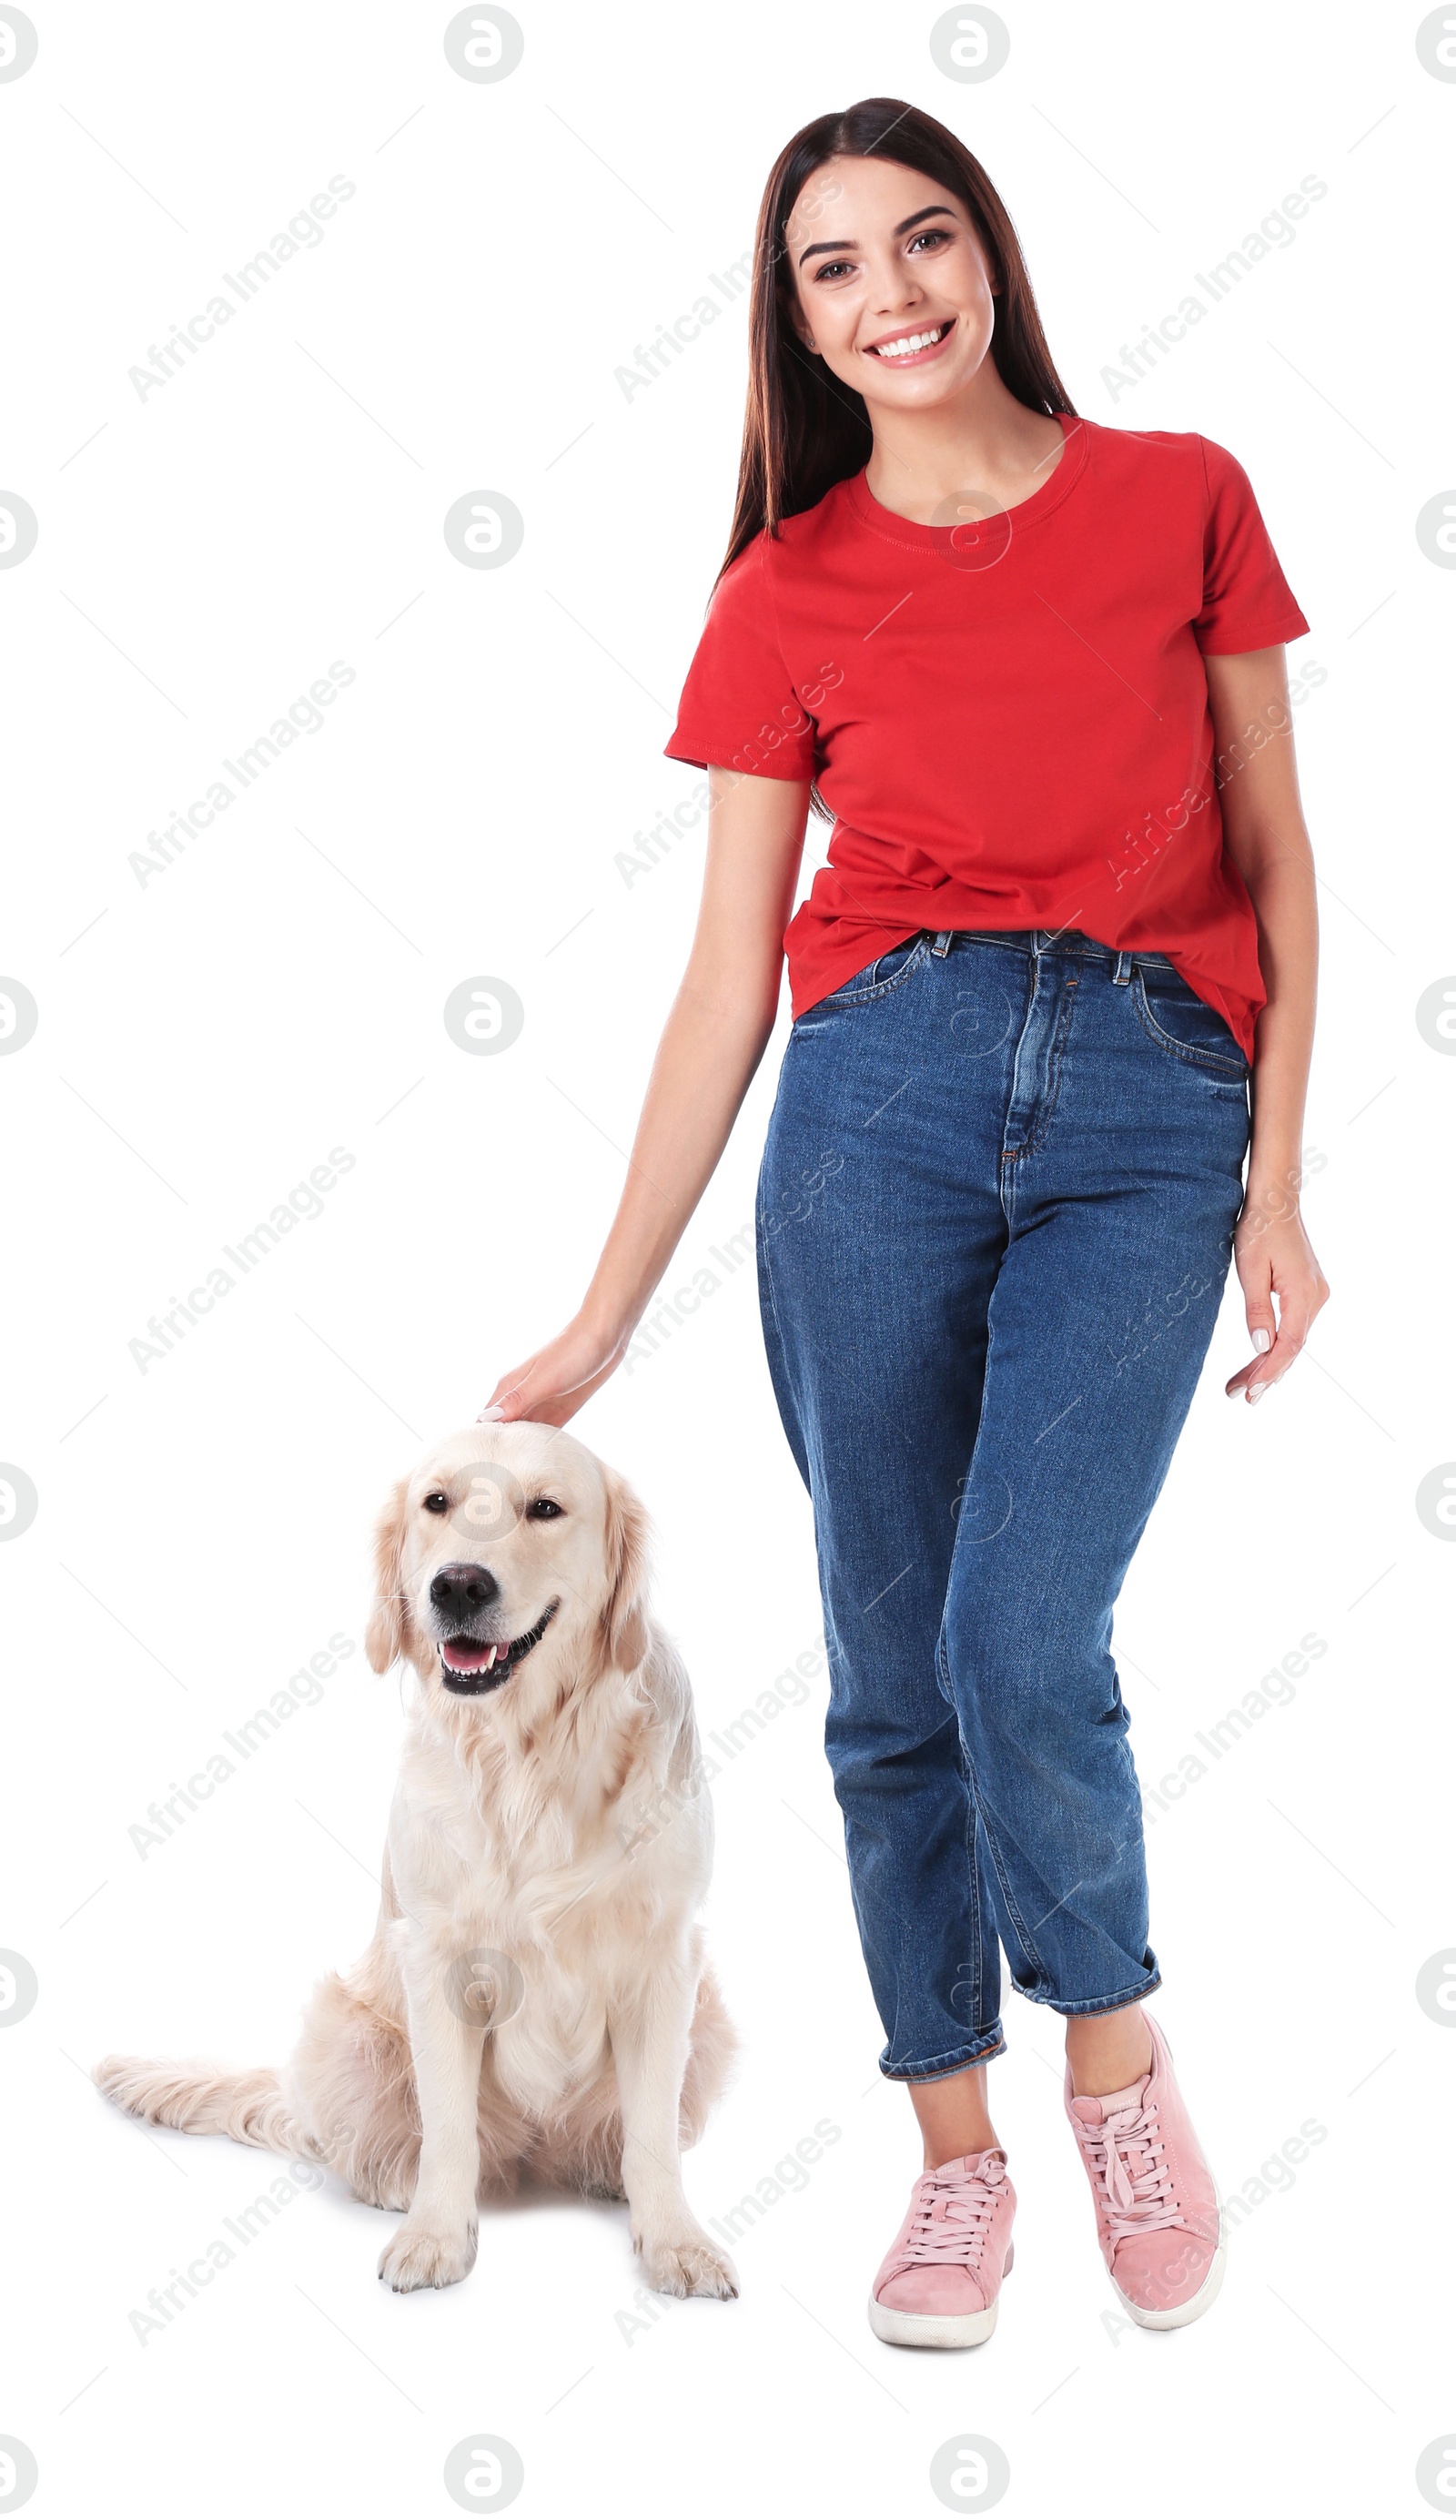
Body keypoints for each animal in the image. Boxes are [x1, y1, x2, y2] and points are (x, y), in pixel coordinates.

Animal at [93, 1431, 735, 2298]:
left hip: (712, 2016)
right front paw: (435, 2236)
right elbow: (448, 2126)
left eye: (545, 1506)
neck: (529, 1754)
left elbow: (655, 2133)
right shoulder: (435, 1955)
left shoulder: (667, 1955)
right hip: (346, 2026)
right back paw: (396, 2180)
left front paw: (674, 2240)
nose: (458, 1583)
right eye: (437, 1502)